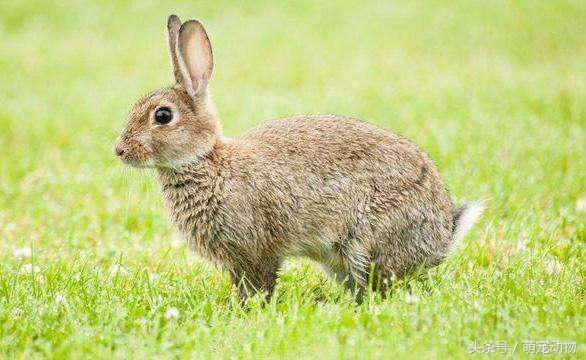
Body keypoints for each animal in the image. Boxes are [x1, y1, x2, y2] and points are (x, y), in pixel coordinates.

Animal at [115, 15, 484, 300]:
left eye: (163, 116)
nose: (119, 150)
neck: (206, 162)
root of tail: (442, 237)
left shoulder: (257, 249)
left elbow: (261, 283)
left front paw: (251, 310)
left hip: (365, 243)